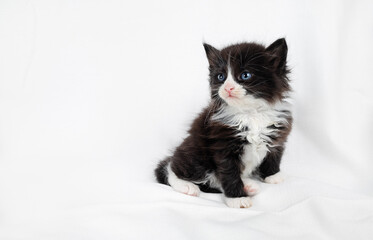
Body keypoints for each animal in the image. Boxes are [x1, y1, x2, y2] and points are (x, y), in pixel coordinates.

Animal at [153, 38, 290, 207]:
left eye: (245, 75)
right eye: (221, 77)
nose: (228, 88)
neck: (250, 114)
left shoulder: (277, 133)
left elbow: (274, 155)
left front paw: (273, 175)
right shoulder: (222, 146)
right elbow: (229, 174)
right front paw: (238, 199)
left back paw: (248, 185)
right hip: (194, 153)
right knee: (172, 167)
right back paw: (186, 185)